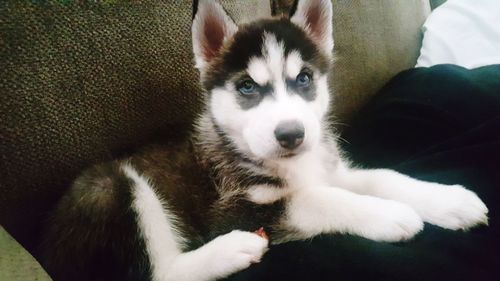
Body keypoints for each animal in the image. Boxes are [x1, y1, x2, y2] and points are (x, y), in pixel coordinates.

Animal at [43, 0, 488, 280]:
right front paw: (388, 213)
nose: (291, 134)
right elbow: (320, 199)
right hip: (109, 189)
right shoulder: (235, 208)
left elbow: (381, 177)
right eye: (246, 88)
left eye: (304, 79)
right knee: (158, 273)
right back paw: (233, 251)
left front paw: (449, 200)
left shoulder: (330, 170)